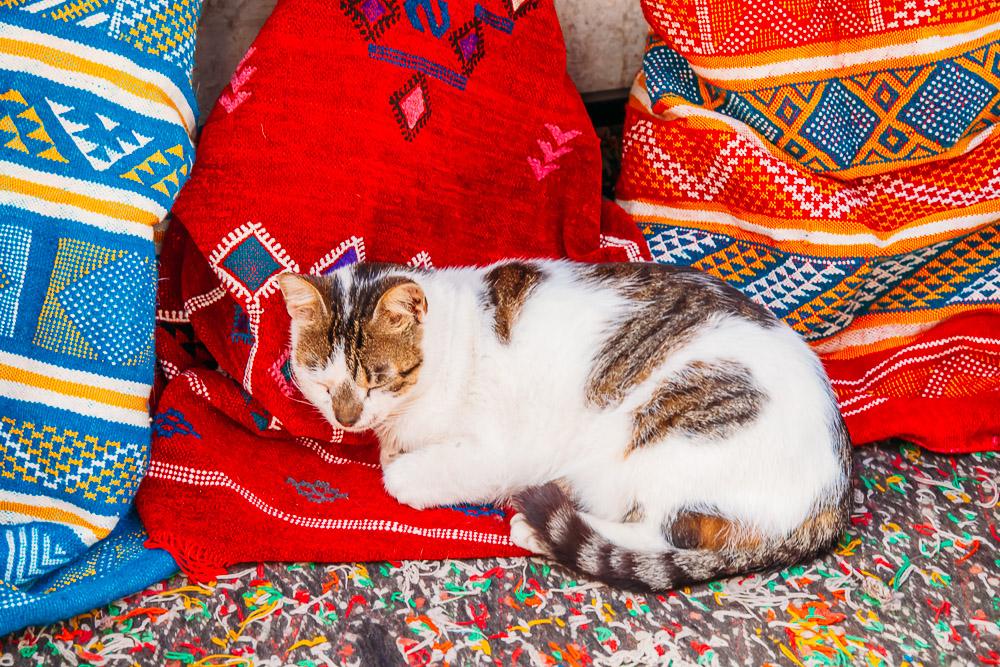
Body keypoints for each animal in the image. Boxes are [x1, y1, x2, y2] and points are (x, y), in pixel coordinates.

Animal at [280, 260, 852, 588]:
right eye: (322, 382)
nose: (346, 416)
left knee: (664, 537)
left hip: (668, 433)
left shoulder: (505, 449)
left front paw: (403, 469)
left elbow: (404, 475)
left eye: (377, 380)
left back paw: (535, 526)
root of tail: (836, 493)